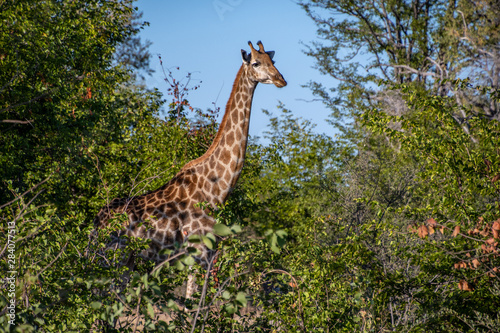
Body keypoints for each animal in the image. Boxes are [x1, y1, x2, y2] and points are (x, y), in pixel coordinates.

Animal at [94, 40, 288, 296]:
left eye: (272, 61)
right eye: (256, 63)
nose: (280, 79)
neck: (217, 188)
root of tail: (95, 224)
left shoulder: (206, 251)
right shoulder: (199, 249)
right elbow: (195, 298)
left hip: (126, 259)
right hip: (113, 256)